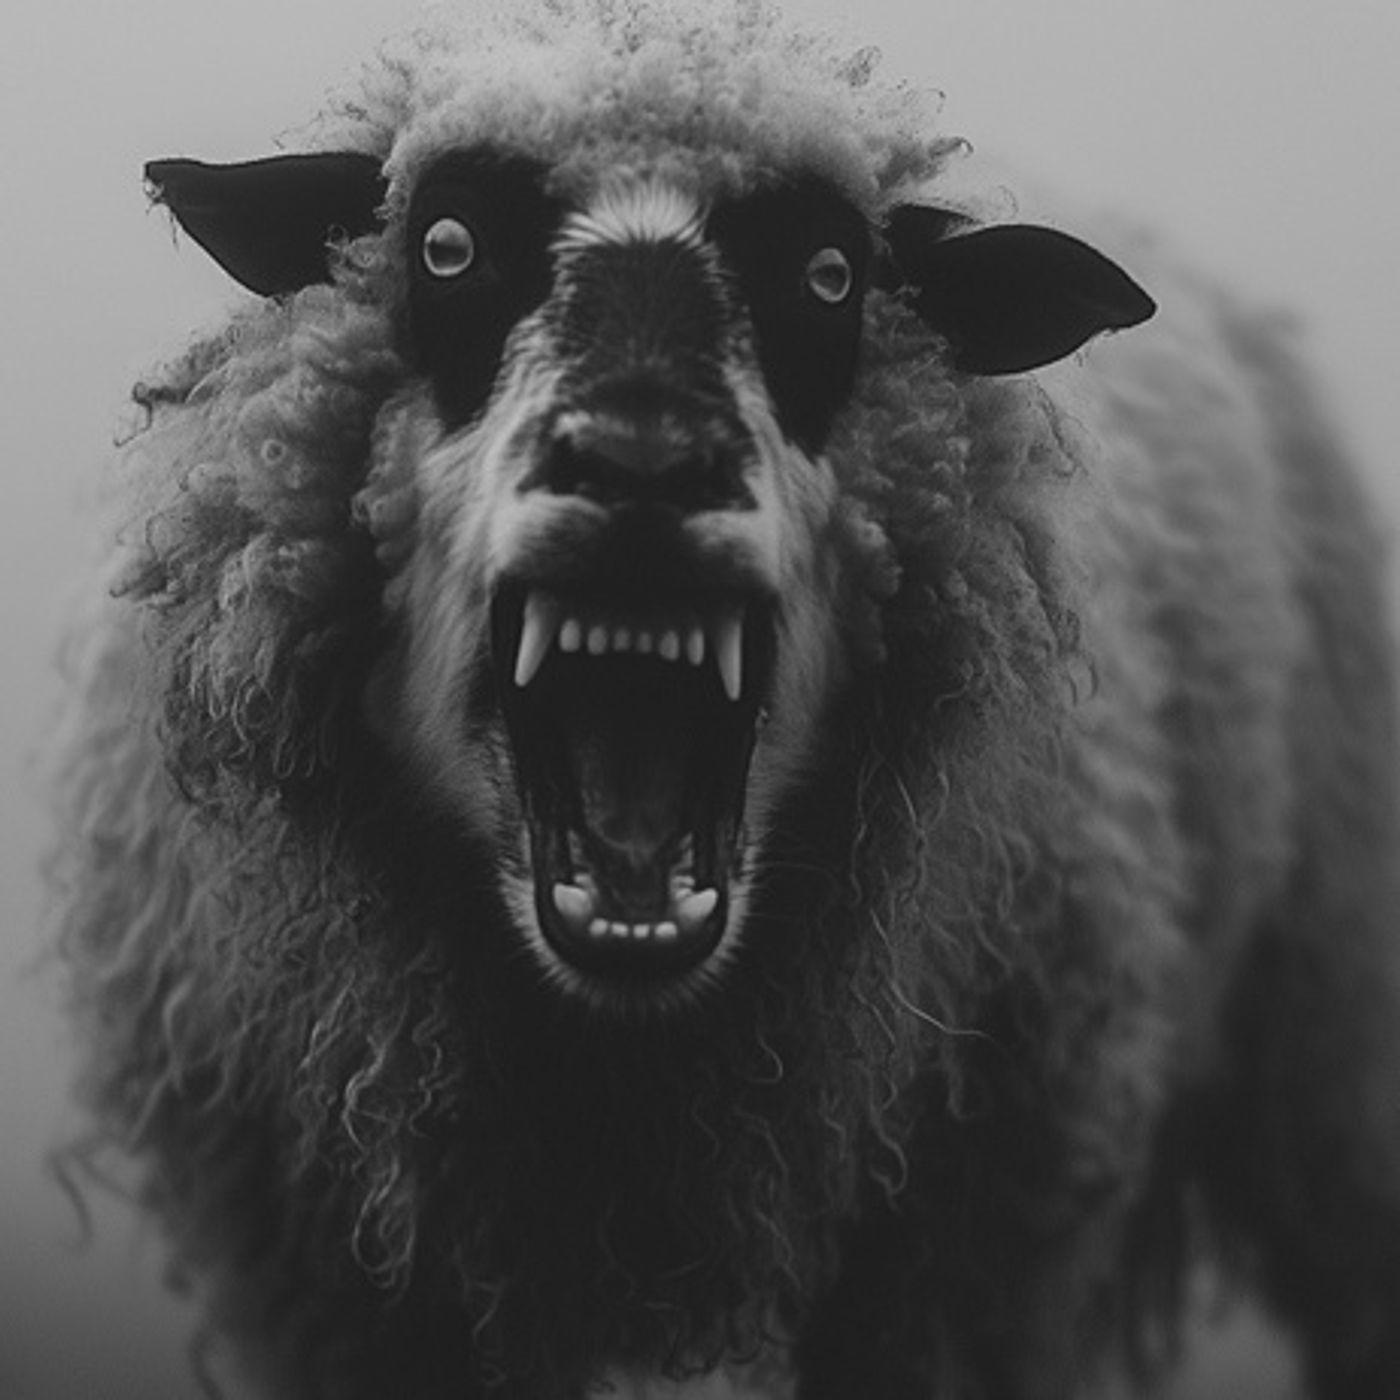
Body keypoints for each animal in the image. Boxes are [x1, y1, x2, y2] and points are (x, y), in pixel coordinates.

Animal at [48, 0, 1400, 1396]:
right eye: (445, 245)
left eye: (829, 274)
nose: (642, 459)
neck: (628, 1100)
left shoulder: (954, 1266)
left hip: (1333, 1033)